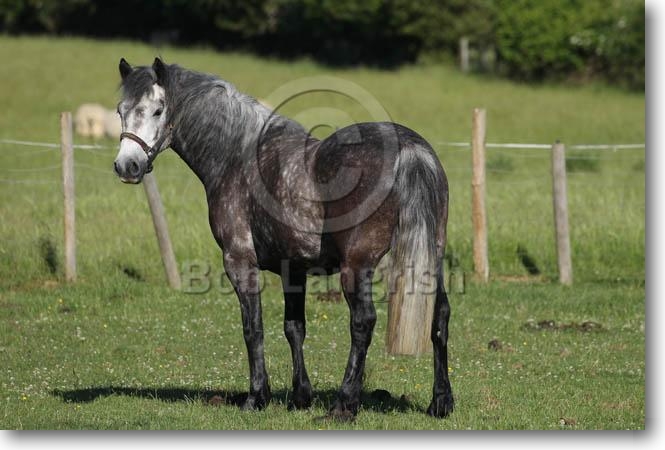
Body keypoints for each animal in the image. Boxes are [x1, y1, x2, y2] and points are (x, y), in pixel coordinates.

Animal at [113, 57, 454, 419]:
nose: (127, 166)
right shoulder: (294, 270)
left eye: (158, 110)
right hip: (431, 257)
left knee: (363, 322)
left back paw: (343, 404)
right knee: (440, 316)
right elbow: (294, 328)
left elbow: (253, 328)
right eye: (121, 110)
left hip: (357, 266)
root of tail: (410, 150)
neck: (237, 156)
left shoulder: (239, 261)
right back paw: (440, 402)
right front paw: (300, 396)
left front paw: (256, 397)